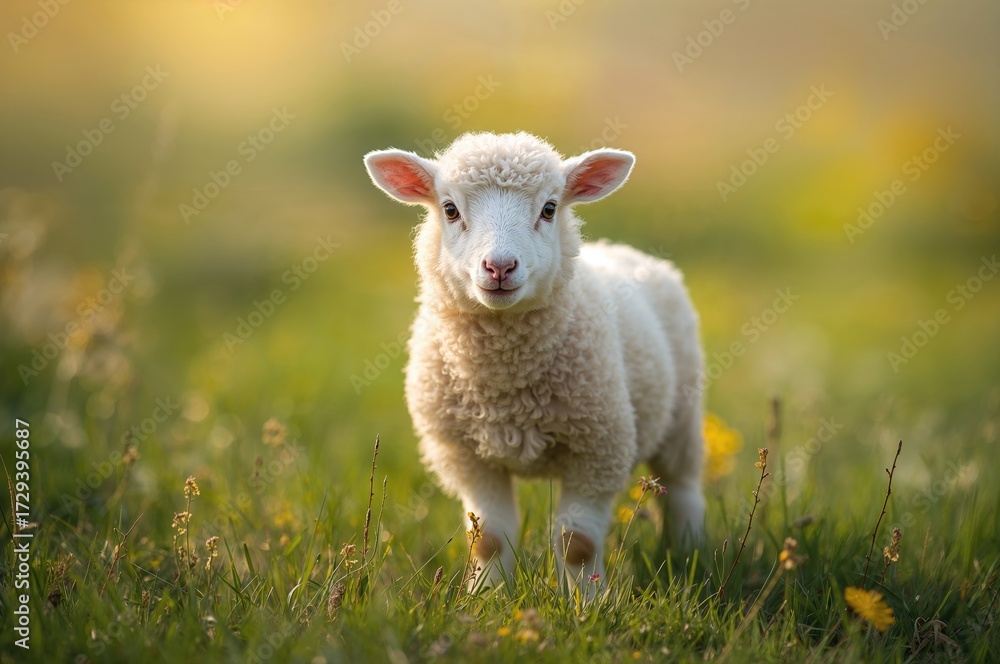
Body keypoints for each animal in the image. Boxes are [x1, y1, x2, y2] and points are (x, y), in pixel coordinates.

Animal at [363, 131, 705, 592]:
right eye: (450, 209)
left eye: (549, 208)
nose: (500, 267)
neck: (507, 383)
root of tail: (624, 251)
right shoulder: (466, 456)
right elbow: (488, 539)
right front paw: (484, 596)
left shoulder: (598, 449)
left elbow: (576, 544)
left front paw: (584, 602)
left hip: (682, 415)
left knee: (684, 486)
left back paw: (689, 551)